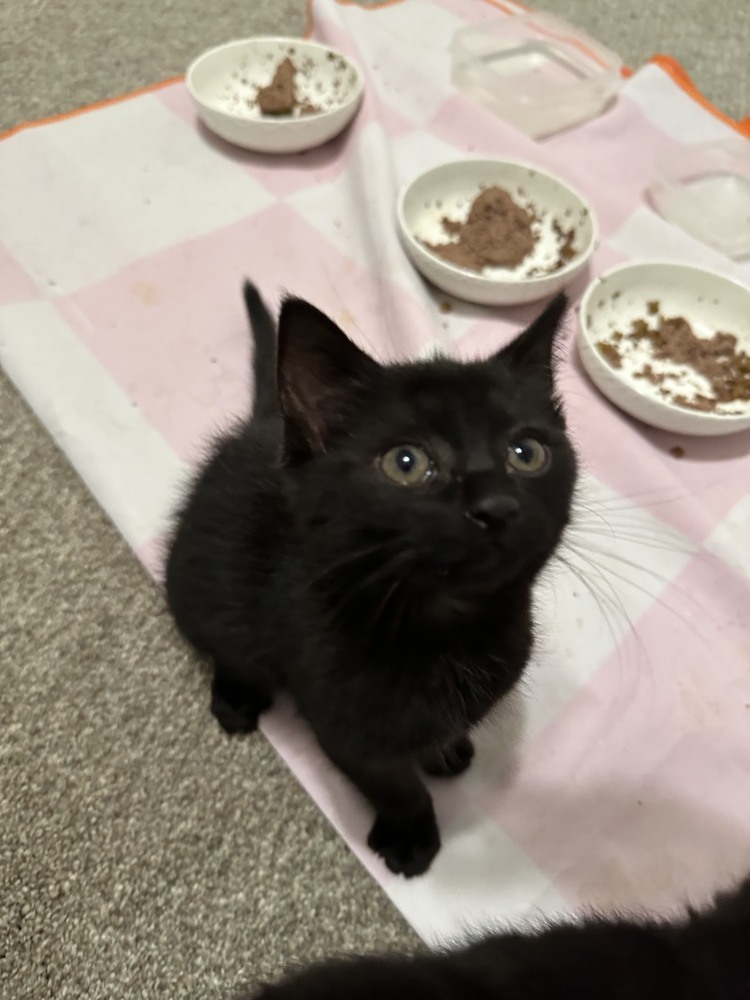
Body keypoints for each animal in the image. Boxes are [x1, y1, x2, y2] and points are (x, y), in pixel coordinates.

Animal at [164, 280, 580, 876]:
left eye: (526, 453)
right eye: (406, 463)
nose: (497, 507)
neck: (444, 634)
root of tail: (267, 423)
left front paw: (445, 749)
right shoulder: (342, 726)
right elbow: (391, 784)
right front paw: (411, 835)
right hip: (199, 588)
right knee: (227, 642)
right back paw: (237, 696)